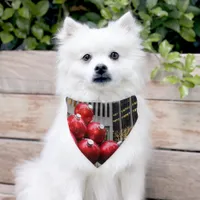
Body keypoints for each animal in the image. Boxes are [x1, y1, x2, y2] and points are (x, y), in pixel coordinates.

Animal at [14, 11, 152, 200]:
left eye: (114, 55)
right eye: (86, 57)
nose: (100, 67)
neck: (102, 101)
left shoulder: (131, 172)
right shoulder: (74, 173)